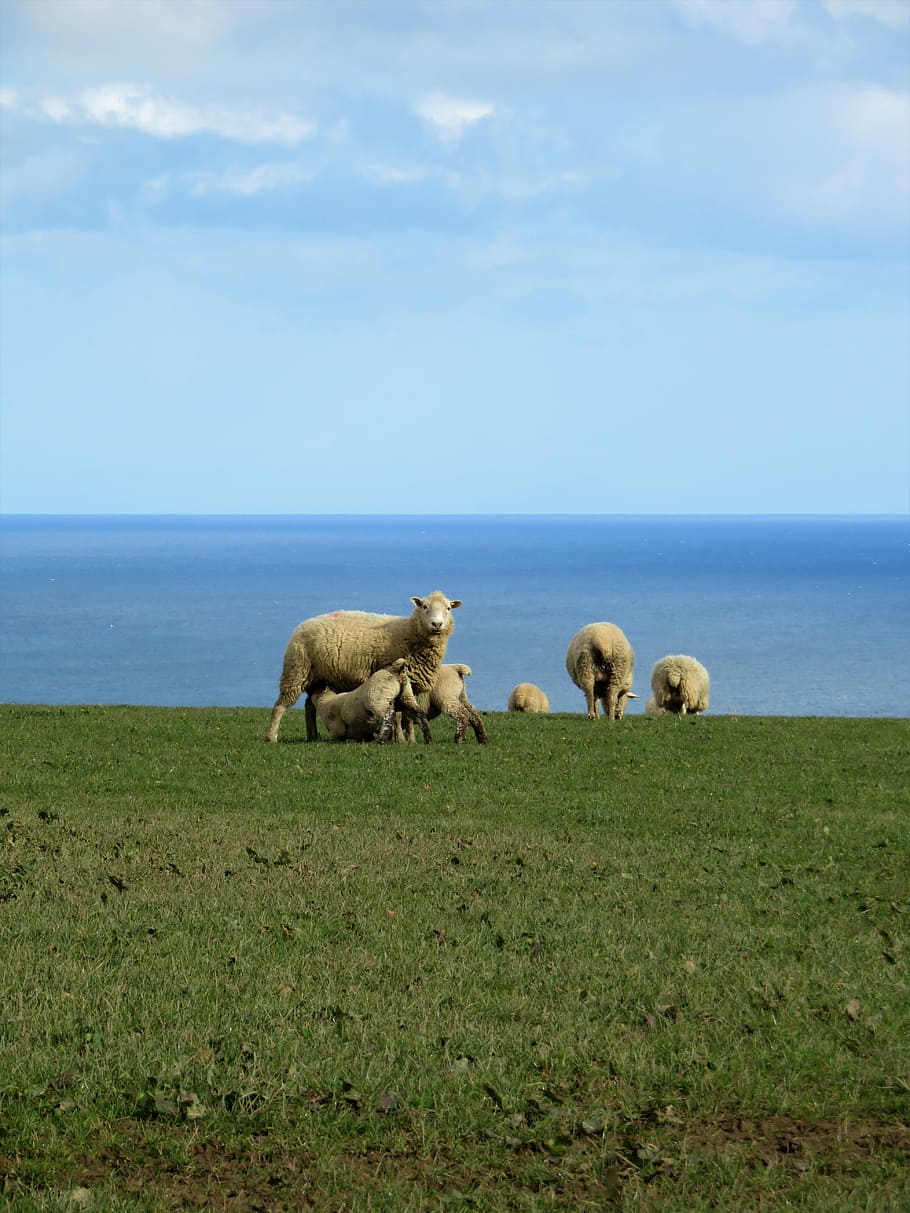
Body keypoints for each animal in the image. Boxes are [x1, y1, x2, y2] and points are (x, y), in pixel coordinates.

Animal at [266, 590, 462, 743]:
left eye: (448, 608)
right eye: (425, 607)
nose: (437, 624)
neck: (409, 634)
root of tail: (302, 625)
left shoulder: (410, 685)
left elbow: (408, 716)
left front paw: (410, 739)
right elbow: (399, 716)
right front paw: (399, 739)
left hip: (318, 677)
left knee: (309, 706)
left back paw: (312, 736)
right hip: (297, 669)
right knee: (280, 706)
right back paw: (272, 737)